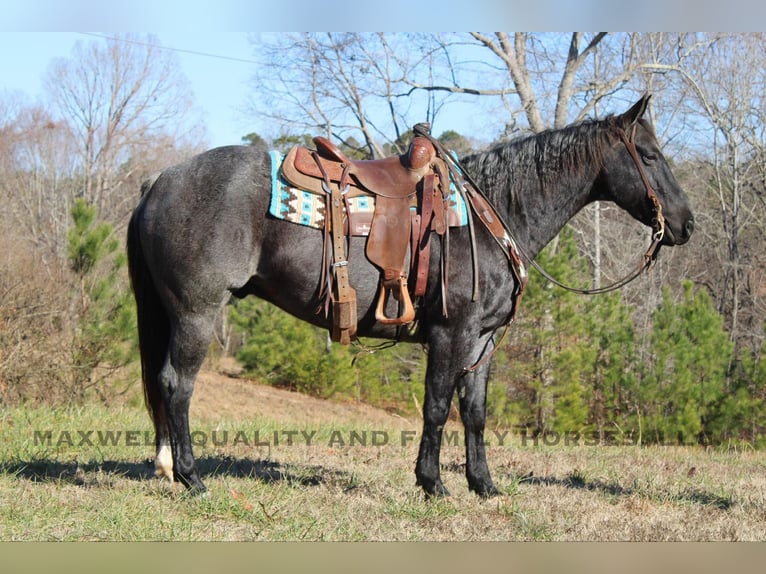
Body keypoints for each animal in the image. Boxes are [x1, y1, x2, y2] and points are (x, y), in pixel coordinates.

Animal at [127, 94, 694, 498]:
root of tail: (159, 179)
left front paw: (484, 485)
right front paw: (433, 484)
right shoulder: (451, 334)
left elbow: (475, 411)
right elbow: (437, 406)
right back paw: (192, 477)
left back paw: (167, 467)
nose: (686, 224)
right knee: (176, 385)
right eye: (648, 154)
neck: (493, 213)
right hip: (197, 313)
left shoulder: (483, 341)